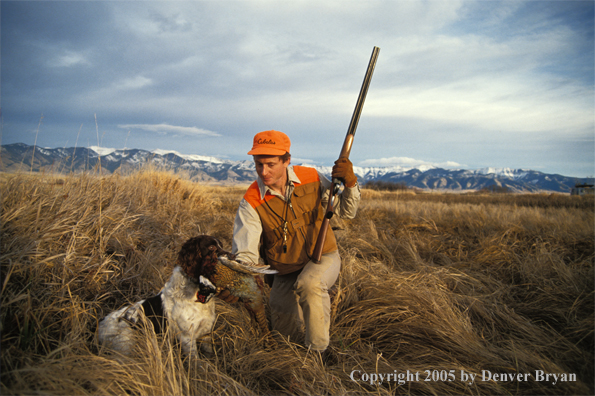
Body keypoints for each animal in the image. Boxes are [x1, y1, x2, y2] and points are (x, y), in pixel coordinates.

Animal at [98, 235, 274, 356]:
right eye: (211, 247)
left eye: (220, 245)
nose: (233, 257)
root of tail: (99, 326)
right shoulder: (187, 338)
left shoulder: (206, 333)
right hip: (127, 346)